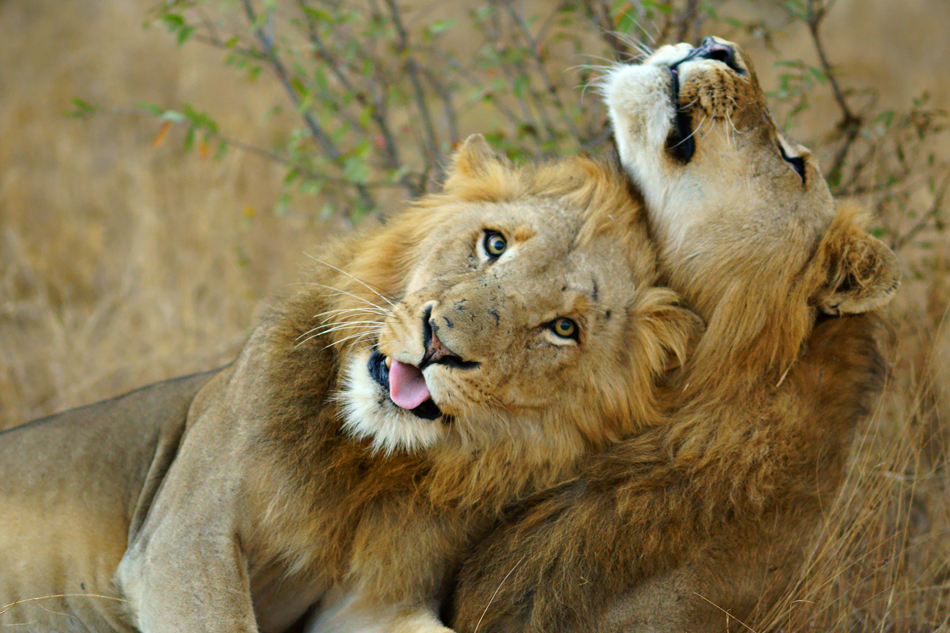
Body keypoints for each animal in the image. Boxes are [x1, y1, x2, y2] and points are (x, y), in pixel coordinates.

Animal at [0, 135, 704, 632]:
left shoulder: (371, 604)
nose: (440, 342)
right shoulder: (181, 543)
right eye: (494, 244)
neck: (367, 462)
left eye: (563, 328)